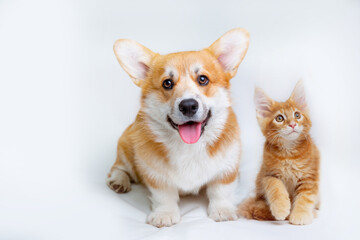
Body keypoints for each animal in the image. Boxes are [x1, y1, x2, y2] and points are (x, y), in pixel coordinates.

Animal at [105, 27, 249, 227]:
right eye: (167, 83)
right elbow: (164, 196)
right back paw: (119, 181)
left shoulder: (226, 170)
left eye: (203, 79)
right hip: (125, 148)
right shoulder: (156, 177)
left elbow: (221, 191)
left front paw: (223, 210)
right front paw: (164, 214)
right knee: (118, 167)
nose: (188, 105)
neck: (189, 147)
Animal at [239, 81, 320, 225]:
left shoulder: (309, 176)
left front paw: (300, 215)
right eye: (279, 118)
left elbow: (305, 196)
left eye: (297, 115)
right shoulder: (266, 175)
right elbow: (275, 186)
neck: (289, 153)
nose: (293, 124)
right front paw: (281, 208)